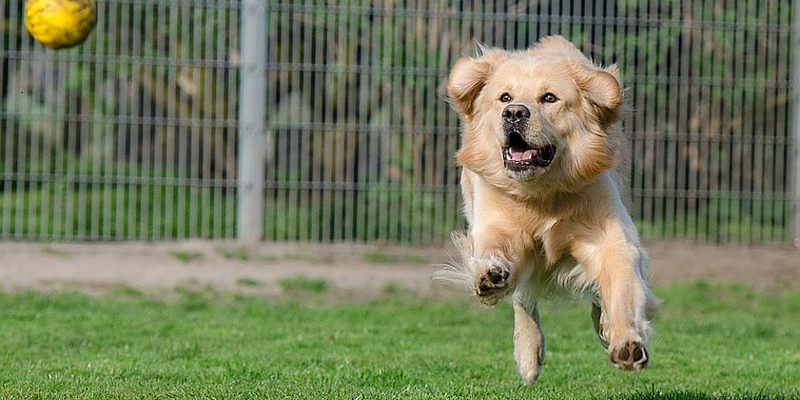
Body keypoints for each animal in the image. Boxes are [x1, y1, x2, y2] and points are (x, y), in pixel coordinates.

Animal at [438, 36, 664, 386]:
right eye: (505, 97)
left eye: (549, 98)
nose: (514, 113)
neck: (541, 194)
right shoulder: (494, 223)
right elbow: (495, 254)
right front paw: (489, 275)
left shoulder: (611, 236)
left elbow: (622, 285)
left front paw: (627, 342)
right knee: (523, 297)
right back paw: (528, 353)